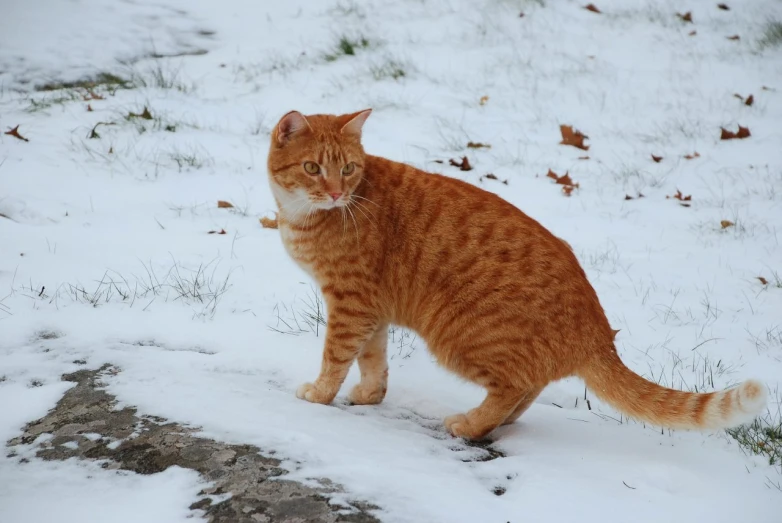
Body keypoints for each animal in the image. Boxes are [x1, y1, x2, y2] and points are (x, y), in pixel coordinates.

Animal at [266, 108, 768, 440]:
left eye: (348, 169)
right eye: (313, 168)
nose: (335, 192)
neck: (306, 216)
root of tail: (598, 330)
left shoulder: (350, 305)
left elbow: (336, 356)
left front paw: (320, 394)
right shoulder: (371, 310)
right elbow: (373, 360)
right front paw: (370, 395)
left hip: (456, 336)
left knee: (514, 386)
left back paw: (471, 424)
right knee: (529, 388)